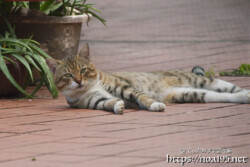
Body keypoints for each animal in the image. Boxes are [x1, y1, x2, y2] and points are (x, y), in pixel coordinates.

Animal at [45, 43, 250, 114]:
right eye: (68, 75)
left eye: (83, 70)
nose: (79, 80)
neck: (88, 88)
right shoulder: (95, 101)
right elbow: (108, 103)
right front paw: (117, 106)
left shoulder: (123, 87)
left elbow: (140, 96)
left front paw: (154, 105)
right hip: (191, 93)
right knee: (225, 96)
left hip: (204, 81)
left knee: (233, 89)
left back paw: (246, 94)